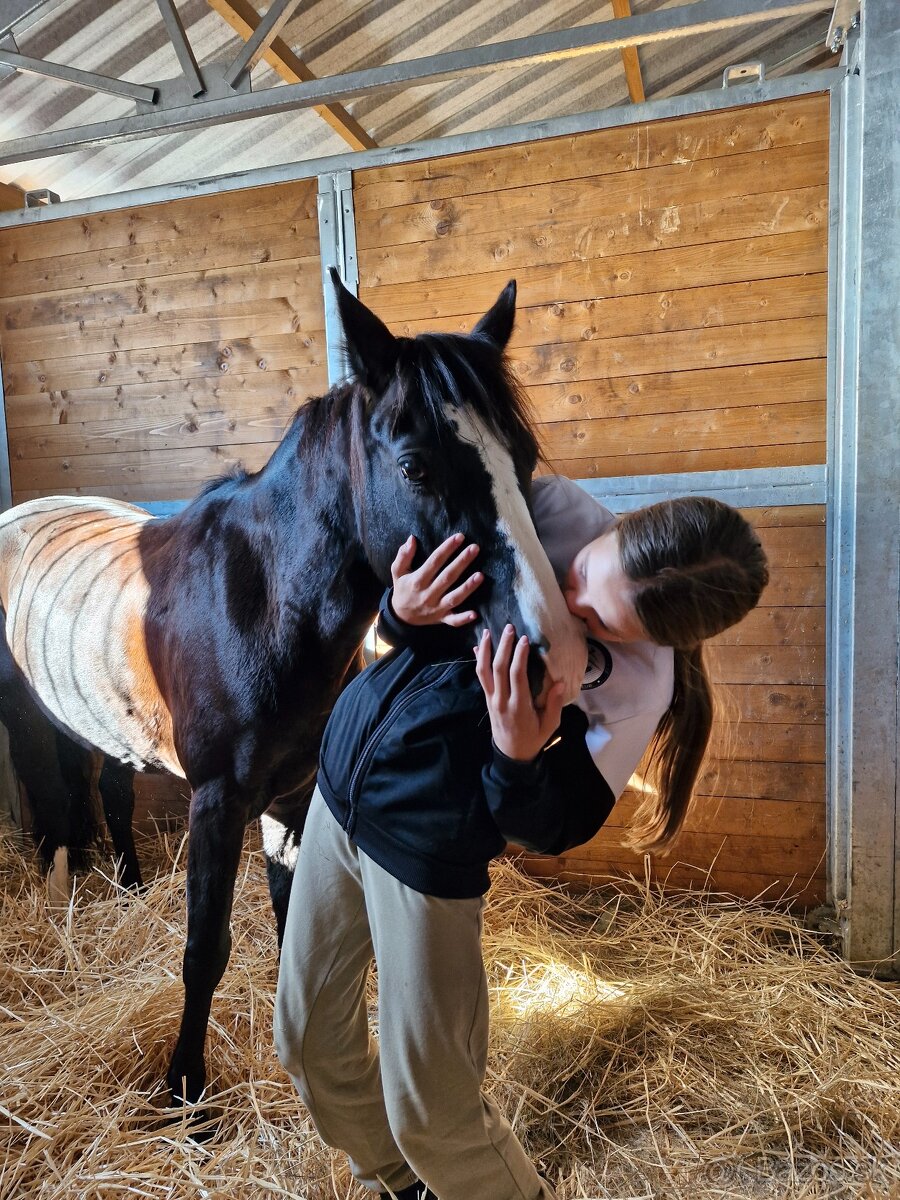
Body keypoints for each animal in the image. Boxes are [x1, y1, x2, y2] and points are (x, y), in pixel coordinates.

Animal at [0, 272, 588, 1106]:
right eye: (415, 466)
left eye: (524, 457)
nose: (552, 654)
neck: (266, 605)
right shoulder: (217, 806)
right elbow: (204, 951)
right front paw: (185, 1090)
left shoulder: (293, 796)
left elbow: (290, 924)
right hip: (25, 717)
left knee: (109, 791)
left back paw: (129, 888)